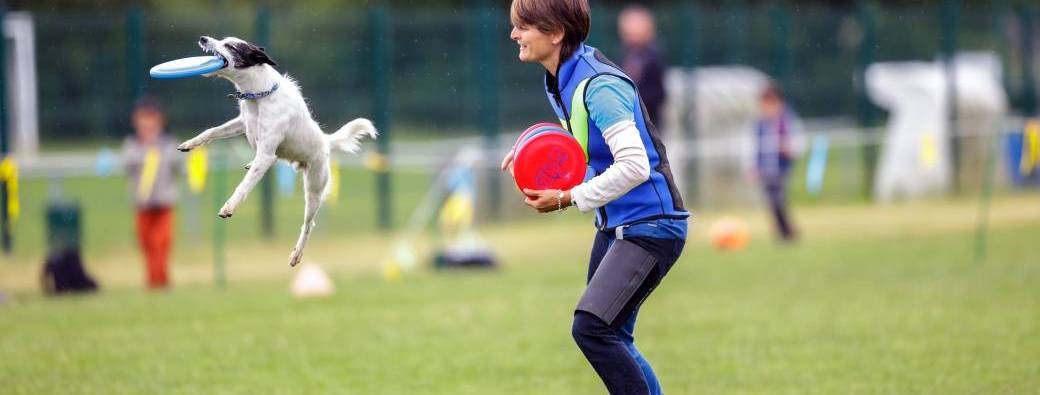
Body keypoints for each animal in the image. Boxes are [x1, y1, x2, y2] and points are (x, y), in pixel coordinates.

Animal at [178, 36, 378, 266]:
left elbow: (244, 185)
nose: (203, 38)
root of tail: (326, 142)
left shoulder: (265, 153)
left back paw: (297, 254)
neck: (258, 96)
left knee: (308, 224)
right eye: (223, 40)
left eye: (230, 46)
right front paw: (189, 143)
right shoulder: (242, 123)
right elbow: (211, 131)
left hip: (314, 189)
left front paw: (229, 207)